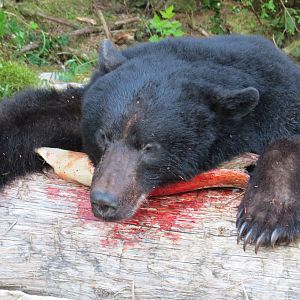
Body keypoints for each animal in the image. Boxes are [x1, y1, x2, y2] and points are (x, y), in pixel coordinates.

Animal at [0, 34, 300, 251]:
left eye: (149, 148)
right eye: (103, 136)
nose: (104, 202)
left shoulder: (278, 102)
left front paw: (266, 216)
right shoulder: (79, 108)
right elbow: (35, 114)